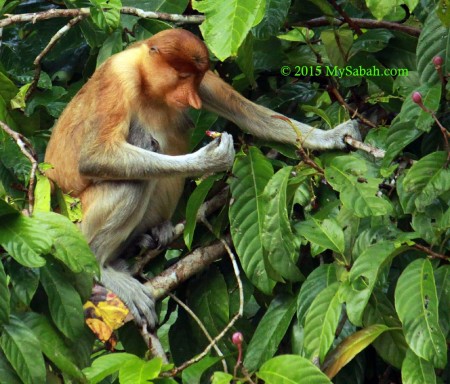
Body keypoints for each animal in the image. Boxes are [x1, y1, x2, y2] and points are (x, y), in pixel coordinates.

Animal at [44, 28, 358, 328]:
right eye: (182, 76)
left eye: (194, 80)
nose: (192, 99)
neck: (145, 81)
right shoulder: (118, 77)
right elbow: (93, 157)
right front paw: (210, 159)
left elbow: (247, 112)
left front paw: (334, 136)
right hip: (79, 224)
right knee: (133, 174)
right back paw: (102, 267)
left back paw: (151, 235)